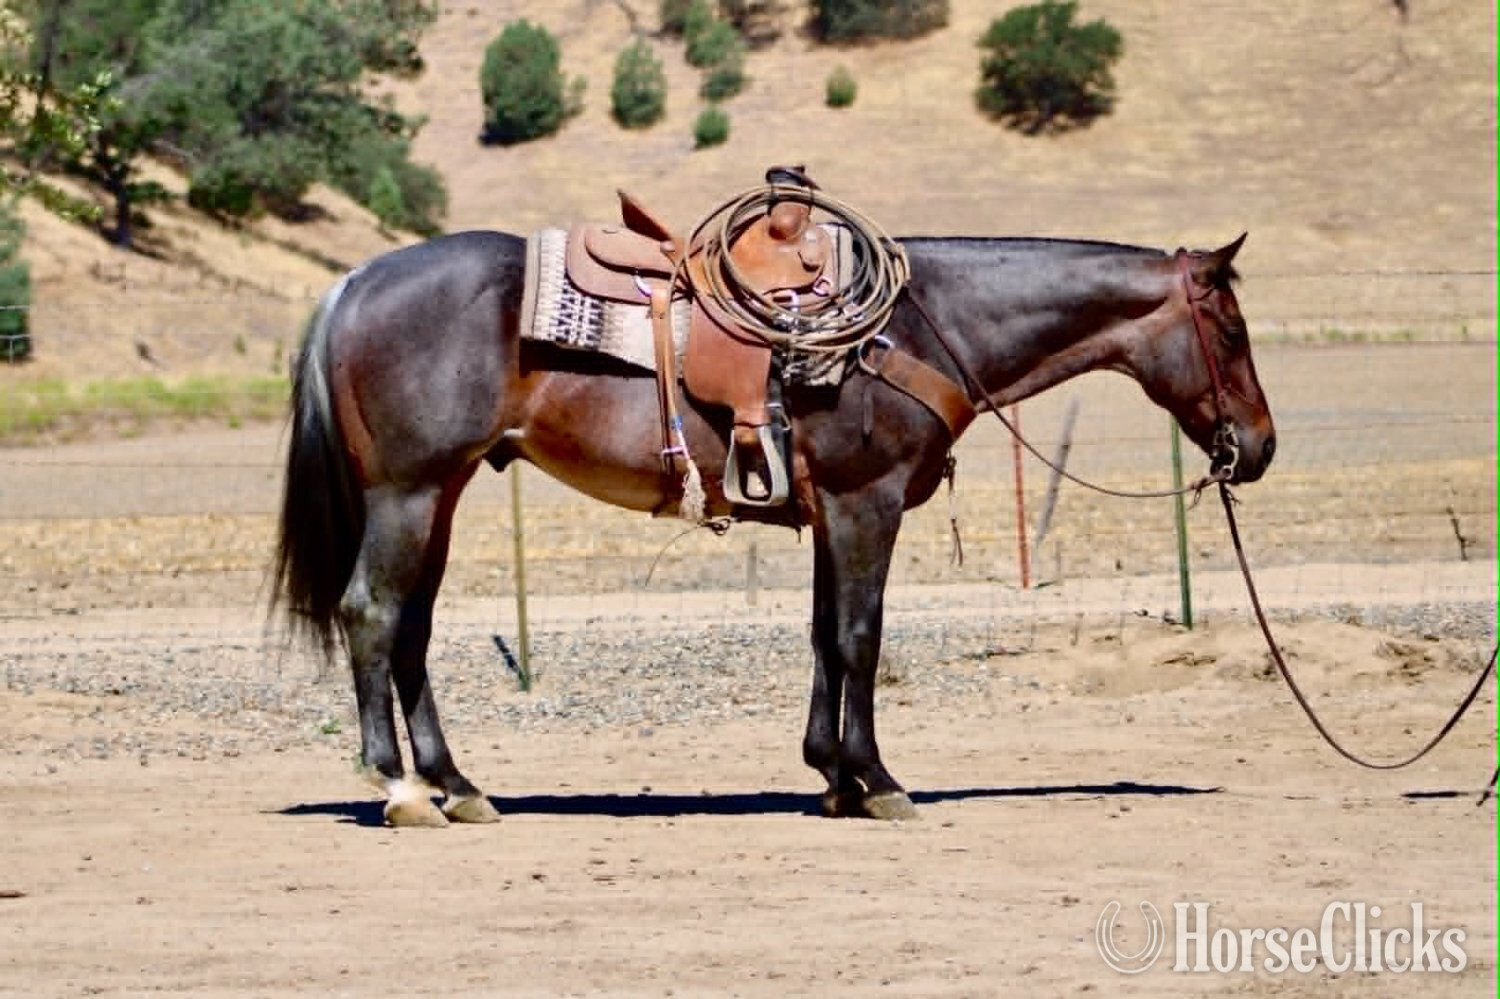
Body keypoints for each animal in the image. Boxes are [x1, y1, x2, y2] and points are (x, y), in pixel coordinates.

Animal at [273, 228, 1275, 827]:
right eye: (1230, 329)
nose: (1259, 447)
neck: (918, 325)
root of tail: (354, 281)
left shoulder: (833, 511)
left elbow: (825, 637)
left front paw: (831, 776)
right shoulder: (868, 501)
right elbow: (863, 636)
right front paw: (879, 780)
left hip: (438, 496)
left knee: (411, 628)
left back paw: (460, 785)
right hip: (408, 492)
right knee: (372, 613)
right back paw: (401, 786)